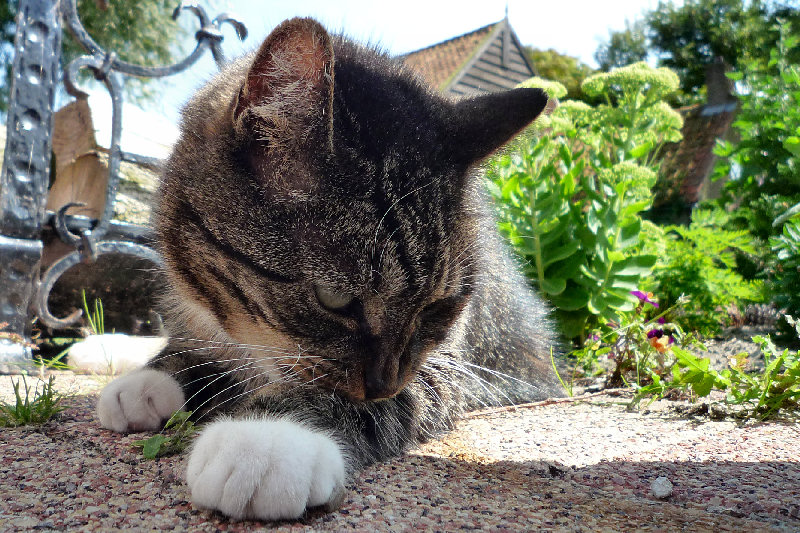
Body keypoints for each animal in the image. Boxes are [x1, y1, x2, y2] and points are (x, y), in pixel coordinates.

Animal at [95, 15, 564, 520]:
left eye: (436, 309)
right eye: (335, 298)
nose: (382, 385)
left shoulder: (449, 368)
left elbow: (346, 396)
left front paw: (265, 439)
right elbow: (187, 348)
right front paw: (152, 377)